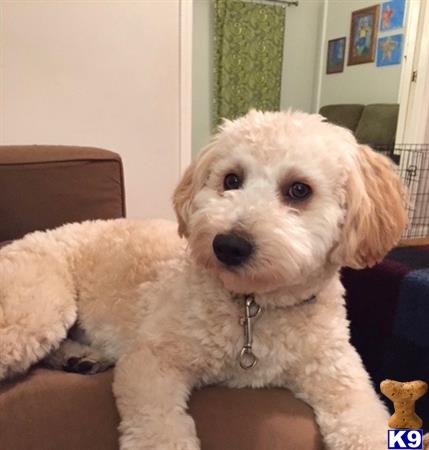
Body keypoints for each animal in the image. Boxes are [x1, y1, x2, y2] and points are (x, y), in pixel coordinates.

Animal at [0, 110, 410, 450]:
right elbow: (160, 432)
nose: (228, 245)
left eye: (299, 189)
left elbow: (367, 424)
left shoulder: (339, 374)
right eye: (231, 180)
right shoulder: (150, 364)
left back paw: (80, 358)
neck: (253, 307)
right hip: (38, 308)